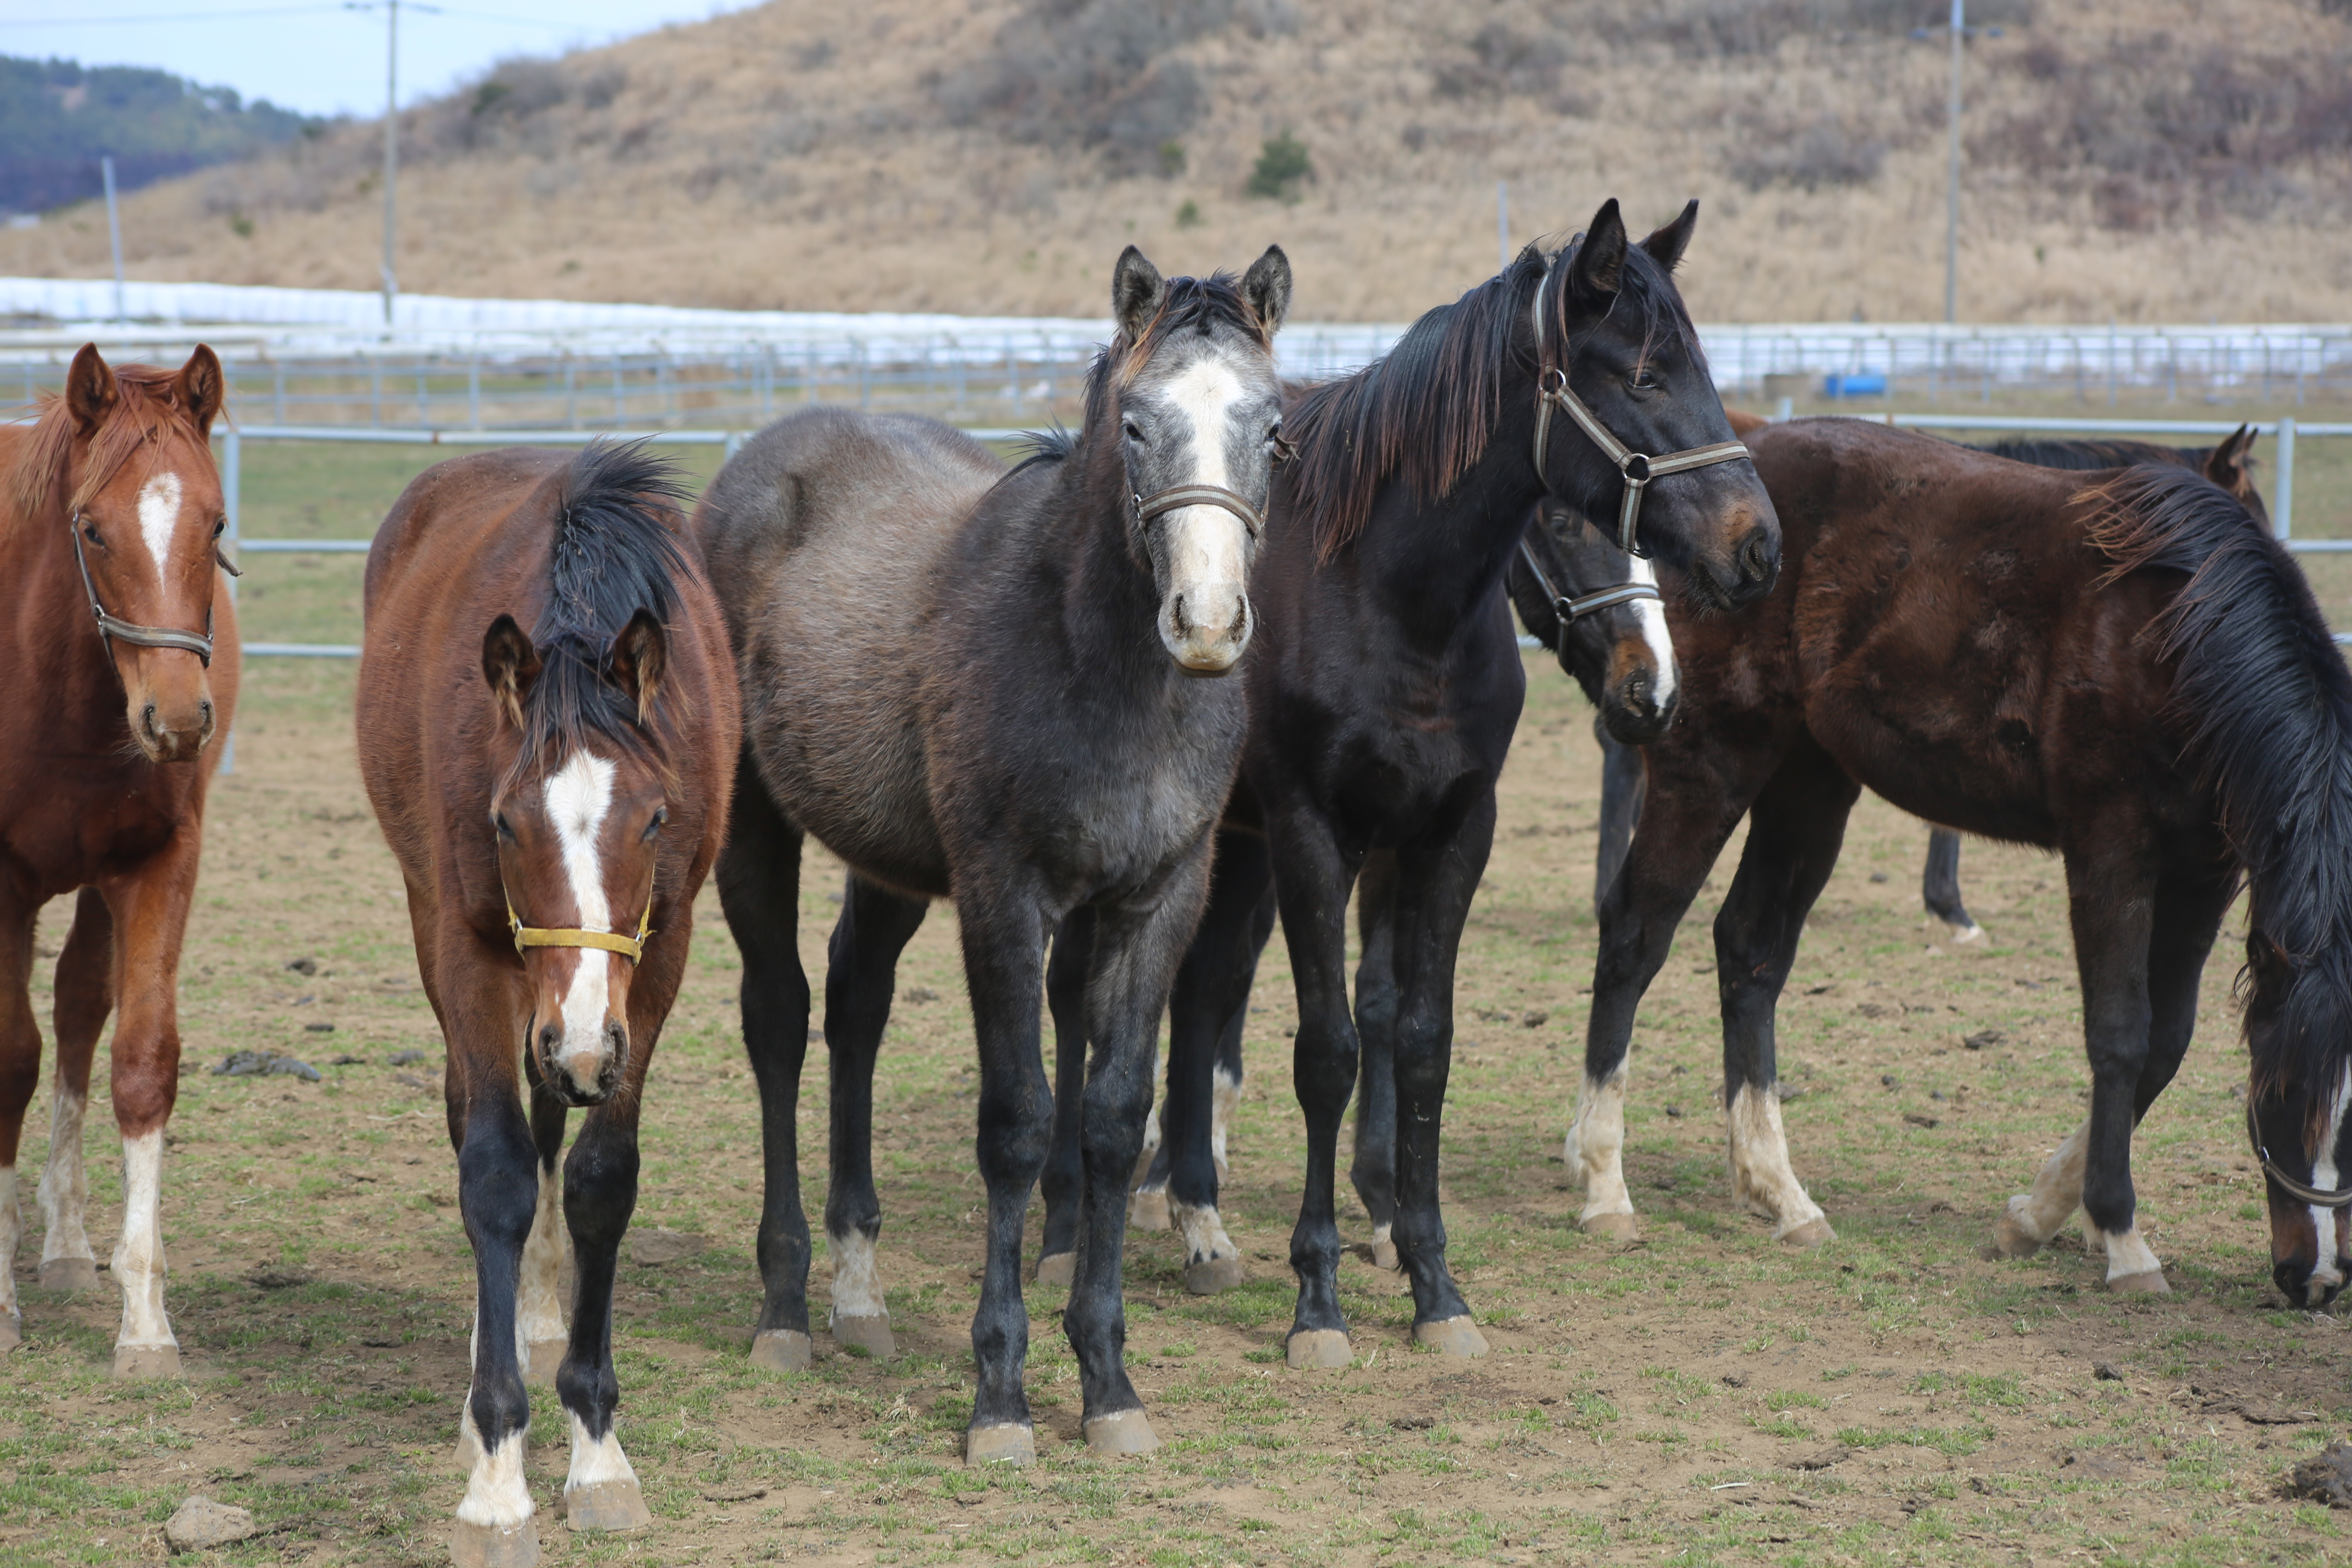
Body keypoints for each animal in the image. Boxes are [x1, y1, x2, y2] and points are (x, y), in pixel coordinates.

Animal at [360, 442, 734, 1568]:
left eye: (654, 816)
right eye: (503, 821)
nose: (578, 1044)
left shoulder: (656, 959)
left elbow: (601, 1180)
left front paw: (598, 1448)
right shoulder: (477, 952)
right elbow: (492, 1174)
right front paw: (496, 1471)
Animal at [701, 242, 1289, 1457]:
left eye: (1274, 426)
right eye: (1135, 424)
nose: (1206, 622)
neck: (1094, 666)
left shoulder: (1157, 899)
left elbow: (1111, 1120)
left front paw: (1108, 1382)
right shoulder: (1002, 898)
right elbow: (1015, 1125)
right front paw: (1001, 1393)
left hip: (885, 860)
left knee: (856, 1005)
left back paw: (858, 1294)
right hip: (755, 827)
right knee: (779, 1019)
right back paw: (785, 1307)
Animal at [1044, 202, 1768, 1363]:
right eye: (1644, 375)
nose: (1759, 546)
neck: (1387, 596)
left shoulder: (1444, 829)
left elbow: (1417, 1037)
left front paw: (1427, 1271)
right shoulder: (1313, 832)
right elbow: (1329, 1049)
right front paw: (1318, 1299)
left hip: (1231, 848)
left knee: (1202, 996)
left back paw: (1198, 1219)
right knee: (1080, 998)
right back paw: (1073, 1227)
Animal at [1571, 414, 2352, 1297]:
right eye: (2283, 1092)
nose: (2319, 1279)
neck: (2177, 639)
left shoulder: (2206, 872)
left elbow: (2167, 1041)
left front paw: (2042, 1214)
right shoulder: (2111, 845)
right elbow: (2120, 1034)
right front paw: (2120, 1236)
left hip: (1809, 783)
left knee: (1750, 953)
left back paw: (1780, 1192)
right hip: (1711, 760)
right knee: (1636, 935)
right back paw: (1604, 1185)